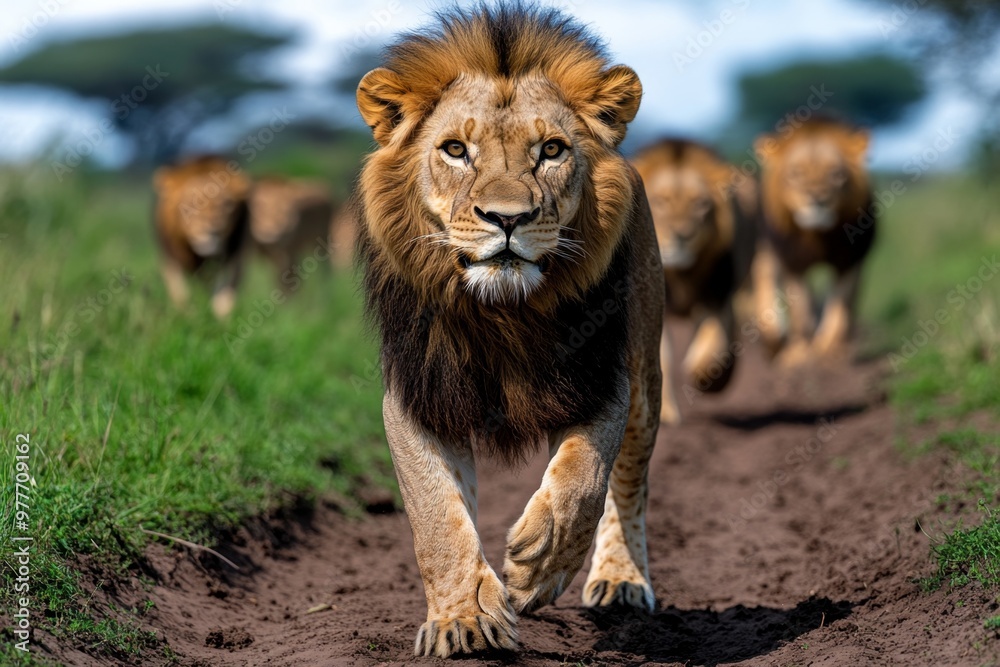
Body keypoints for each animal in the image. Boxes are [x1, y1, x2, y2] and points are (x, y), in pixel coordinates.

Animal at [152, 155, 251, 319]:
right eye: (191, 203)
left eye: (226, 205)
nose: (213, 231)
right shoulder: (170, 258)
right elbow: (180, 292)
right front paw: (187, 315)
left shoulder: (234, 256)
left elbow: (225, 292)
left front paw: (221, 317)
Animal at [355, 5, 674, 658]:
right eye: (455, 150)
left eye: (551, 150)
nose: (507, 219)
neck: (503, 313)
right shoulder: (420, 394)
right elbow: (437, 514)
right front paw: (464, 619)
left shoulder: (602, 378)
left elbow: (583, 480)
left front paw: (538, 566)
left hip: (647, 379)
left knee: (630, 483)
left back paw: (621, 580)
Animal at [632, 139, 757, 407]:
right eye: (660, 202)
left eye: (701, 204)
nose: (682, 235)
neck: (680, 275)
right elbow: (660, 360)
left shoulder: (718, 294)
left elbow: (715, 343)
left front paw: (704, 375)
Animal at [752, 117, 875, 363]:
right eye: (796, 174)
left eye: (836, 174)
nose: (818, 198)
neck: (819, 234)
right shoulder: (793, 263)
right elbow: (802, 312)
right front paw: (801, 355)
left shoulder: (850, 261)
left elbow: (840, 307)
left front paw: (830, 351)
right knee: (764, 275)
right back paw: (775, 339)